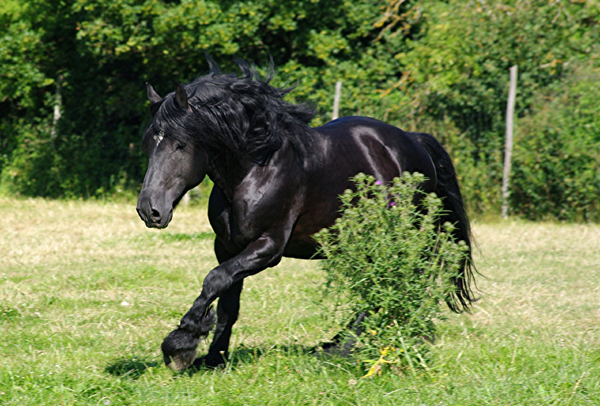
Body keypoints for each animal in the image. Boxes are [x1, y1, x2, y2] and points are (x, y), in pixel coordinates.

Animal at [138, 57, 476, 372]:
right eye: (150, 144)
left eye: (180, 145)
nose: (149, 210)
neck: (254, 169)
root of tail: (414, 142)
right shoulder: (227, 247)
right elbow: (226, 302)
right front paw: (213, 358)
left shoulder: (268, 247)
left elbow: (214, 280)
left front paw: (181, 343)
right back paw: (334, 343)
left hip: (396, 239)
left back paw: (343, 348)